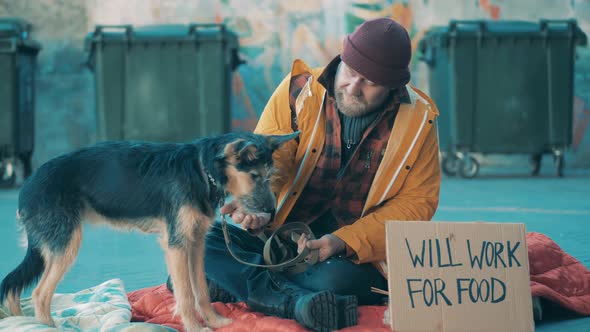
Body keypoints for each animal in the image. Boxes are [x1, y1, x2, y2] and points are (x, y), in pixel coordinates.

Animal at [0, 131, 300, 332]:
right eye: (255, 176)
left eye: (270, 176)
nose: (272, 213)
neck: (202, 170)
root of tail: (27, 185)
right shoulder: (177, 245)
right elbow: (186, 294)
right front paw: (195, 327)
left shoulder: (196, 243)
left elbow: (201, 290)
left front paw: (215, 322)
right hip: (66, 245)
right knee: (40, 294)